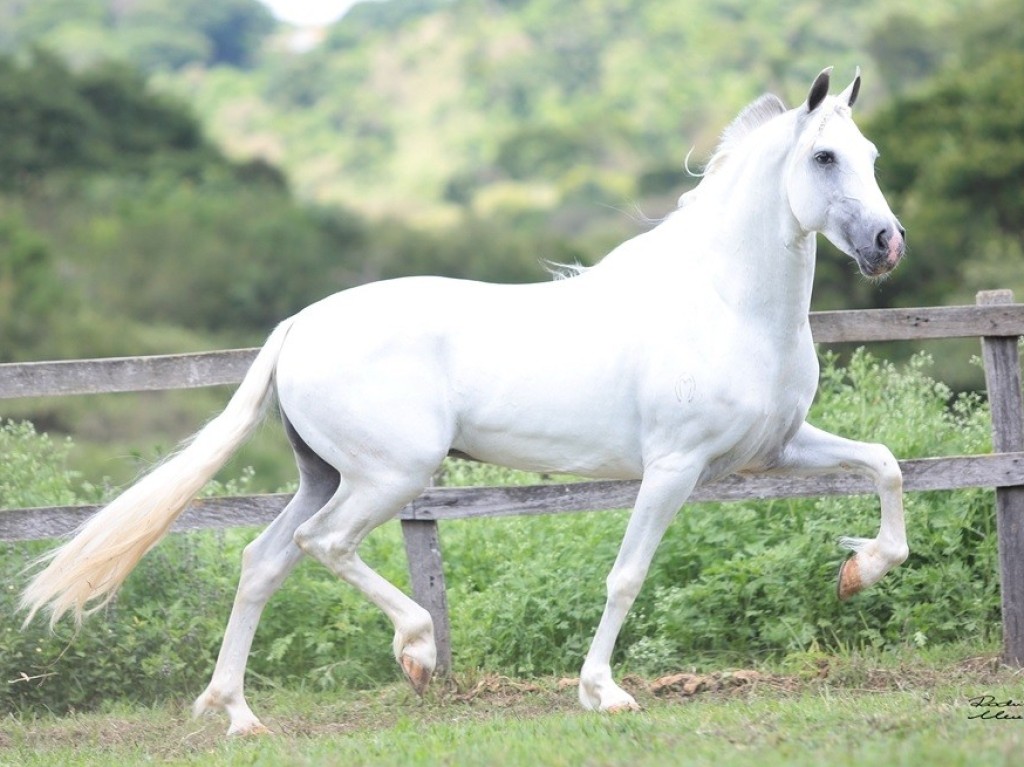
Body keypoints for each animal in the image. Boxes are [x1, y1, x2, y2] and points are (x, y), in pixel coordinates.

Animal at [22, 67, 908, 735]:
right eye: (824, 156)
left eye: (870, 153)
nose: (887, 244)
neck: (725, 303)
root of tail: (297, 326)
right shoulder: (674, 466)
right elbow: (627, 575)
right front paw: (603, 692)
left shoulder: (777, 447)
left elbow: (887, 466)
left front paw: (858, 570)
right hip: (391, 474)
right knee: (323, 543)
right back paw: (414, 649)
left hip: (326, 473)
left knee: (263, 559)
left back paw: (238, 713)